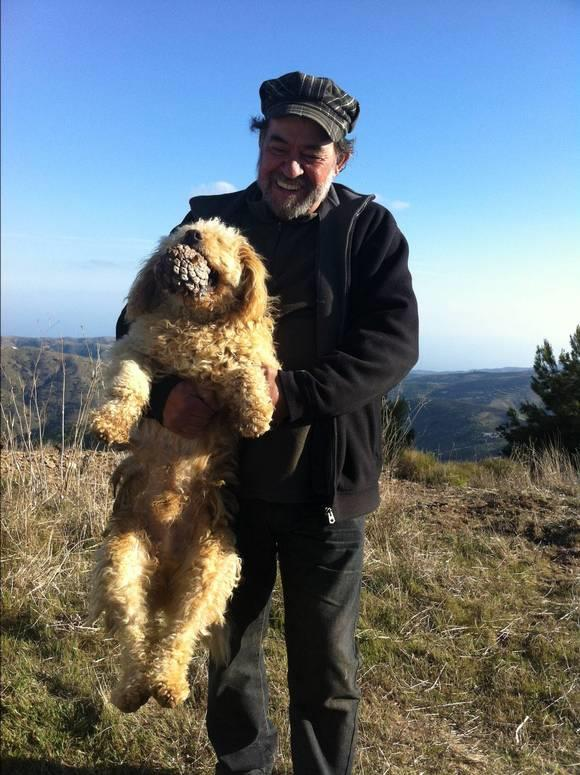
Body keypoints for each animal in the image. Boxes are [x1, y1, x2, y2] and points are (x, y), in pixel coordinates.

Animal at [90, 218, 278, 716]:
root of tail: (166, 572)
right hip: (121, 563)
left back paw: (169, 684)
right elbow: (129, 385)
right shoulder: (135, 352)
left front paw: (256, 413)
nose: (191, 235)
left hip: (212, 569)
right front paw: (110, 423)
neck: (193, 320)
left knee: (182, 632)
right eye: (185, 229)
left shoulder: (241, 359)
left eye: (221, 238)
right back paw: (135, 689)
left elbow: (246, 370)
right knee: (137, 635)